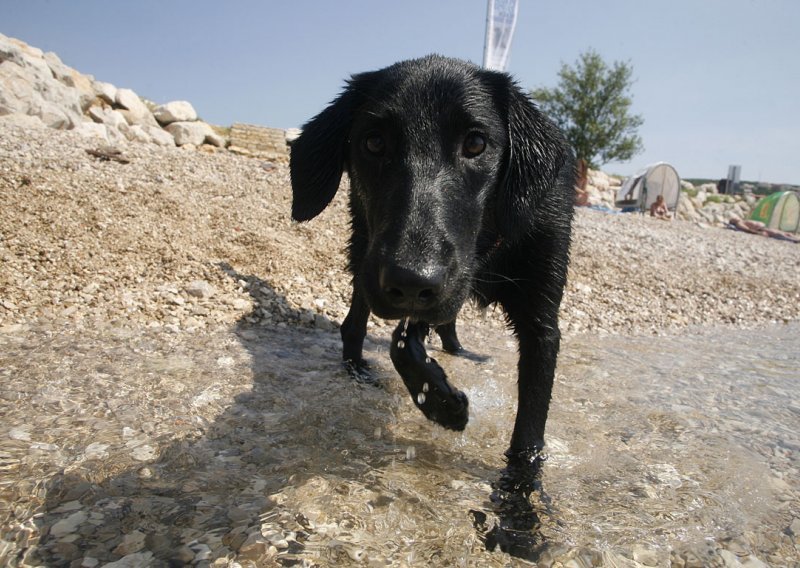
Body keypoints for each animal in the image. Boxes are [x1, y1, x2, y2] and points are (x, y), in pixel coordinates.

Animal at [290, 53, 572, 480]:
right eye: (374, 142)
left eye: (476, 143)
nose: (409, 280)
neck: (487, 248)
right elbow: (401, 342)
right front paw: (443, 404)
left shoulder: (540, 320)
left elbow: (529, 429)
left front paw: (520, 492)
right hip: (365, 250)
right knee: (354, 323)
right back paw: (358, 369)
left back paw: (460, 351)